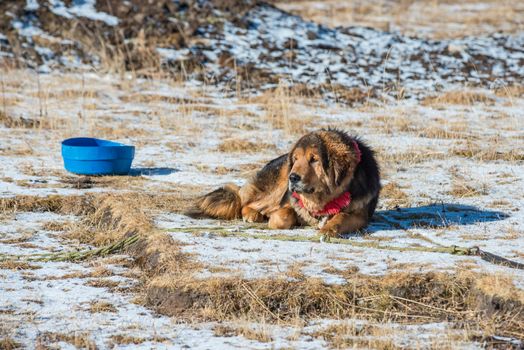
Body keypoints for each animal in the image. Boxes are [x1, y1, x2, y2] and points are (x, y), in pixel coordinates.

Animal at [190, 129, 378, 238]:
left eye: (314, 159)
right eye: (296, 159)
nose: (293, 177)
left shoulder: (360, 215)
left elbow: (341, 217)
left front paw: (328, 229)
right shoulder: (290, 201)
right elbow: (283, 215)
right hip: (276, 187)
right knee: (245, 203)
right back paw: (252, 214)